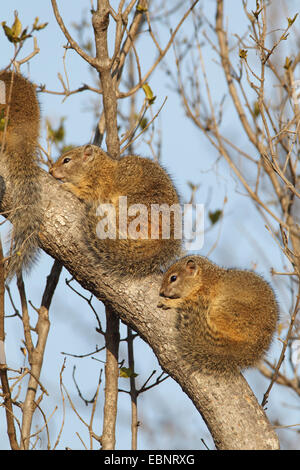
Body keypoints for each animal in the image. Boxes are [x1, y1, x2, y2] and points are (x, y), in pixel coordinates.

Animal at [49, 143, 182, 276]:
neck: (96, 168)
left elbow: (85, 194)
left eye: (67, 160)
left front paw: (69, 187)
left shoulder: (98, 187)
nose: (51, 171)